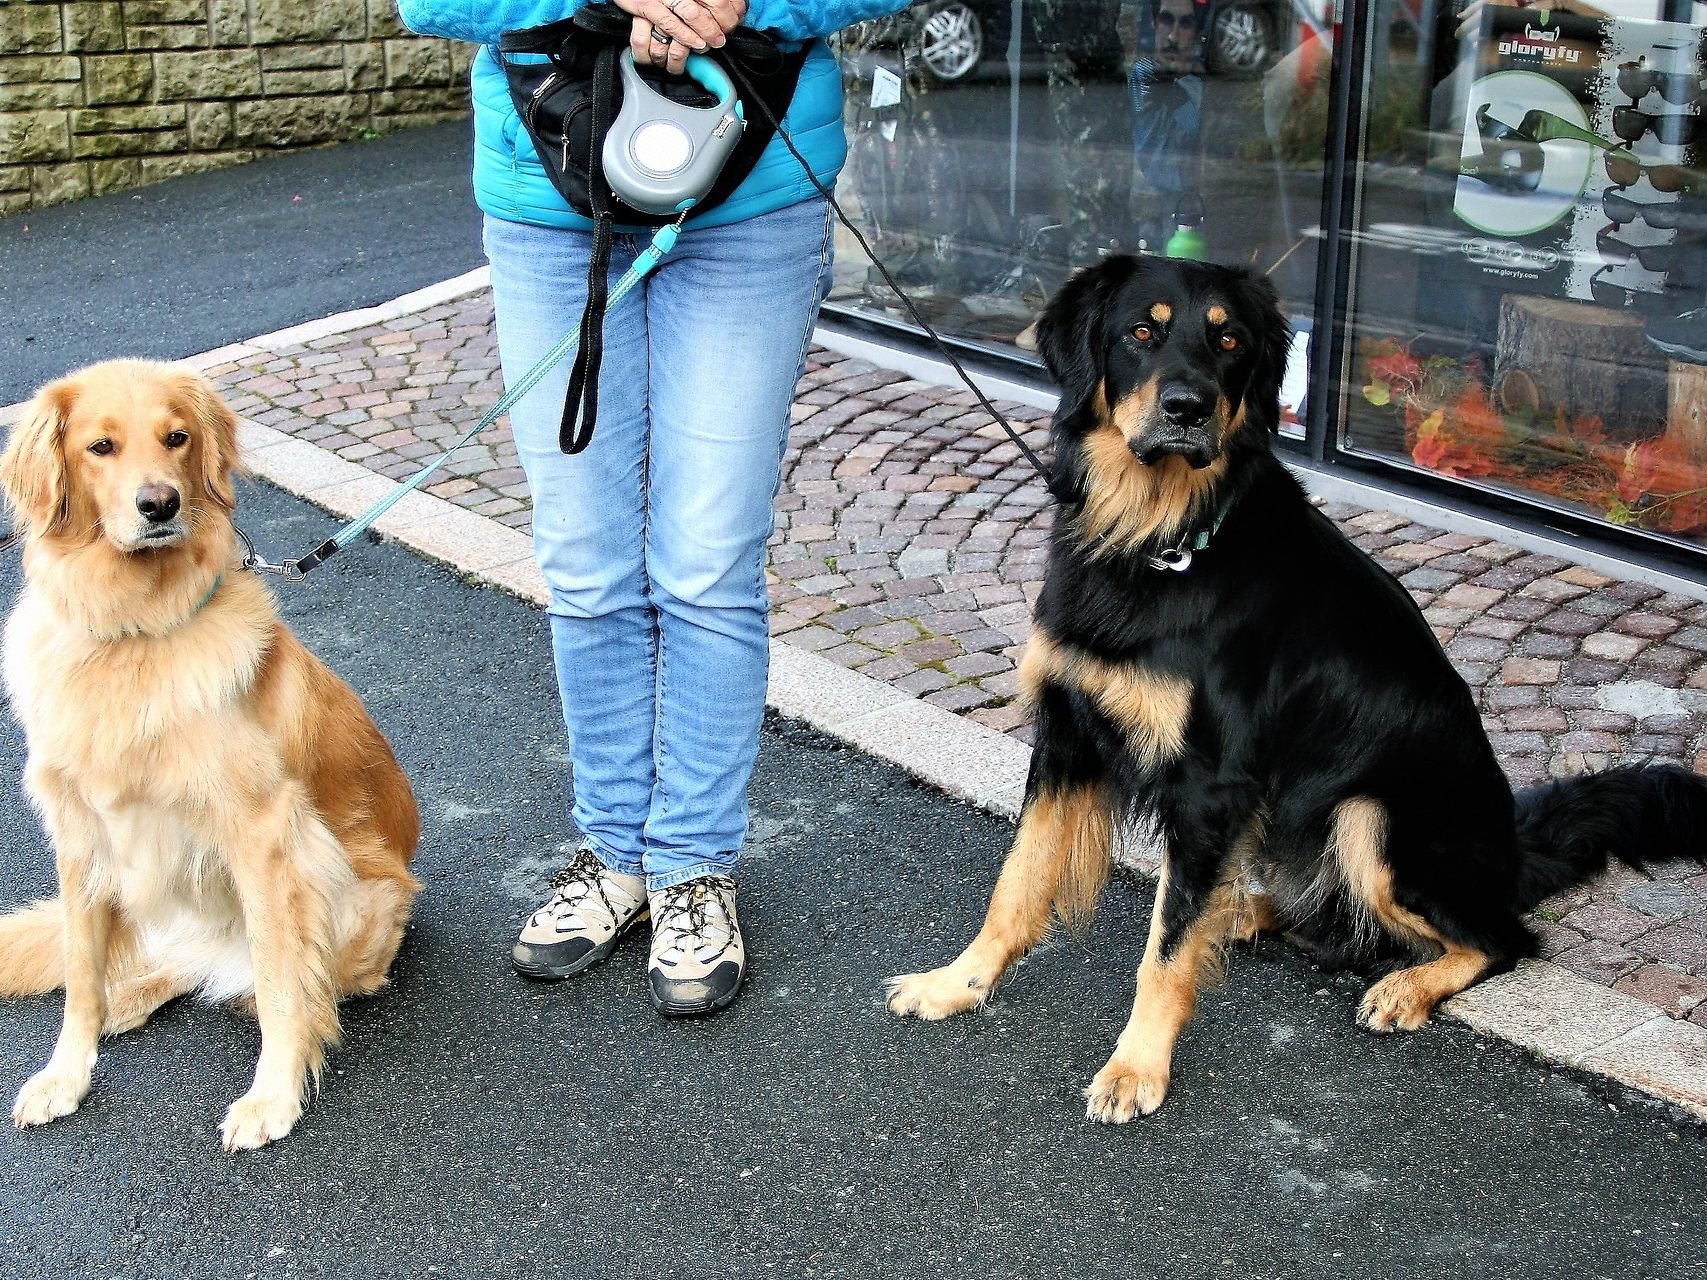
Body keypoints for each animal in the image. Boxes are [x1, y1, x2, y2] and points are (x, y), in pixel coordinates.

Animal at [0, 358, 419, 1153]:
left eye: (177, 437)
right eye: (100, 447)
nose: (160, 504)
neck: (133, 629)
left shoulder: (264, 834)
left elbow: (284, 984)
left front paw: (272, 1096)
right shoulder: (78, 834)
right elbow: (79, 971)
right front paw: (67, 1073)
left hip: (349, 890)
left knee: (279, 978)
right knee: (166, 962)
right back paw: (128, 997)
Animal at [887, 257, 1707, 1119]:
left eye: (1229, 342)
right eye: (1140, 331)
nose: (1188, 409)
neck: (1158, 536)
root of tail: (1514, 847)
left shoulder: (1207, 784)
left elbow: (1163, 949)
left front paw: (1137, 1067)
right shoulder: (1067, 736)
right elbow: (1016, 882)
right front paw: (956, 983)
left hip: (1371, 819)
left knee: (1499, 938)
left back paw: (1404, 986)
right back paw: (1241, 914)